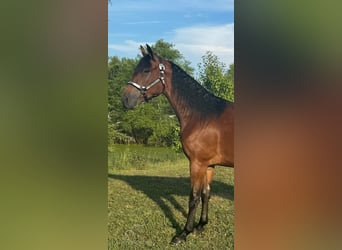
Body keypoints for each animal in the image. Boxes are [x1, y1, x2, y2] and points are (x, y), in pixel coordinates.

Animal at [121, 45, 235, 244]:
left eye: (145, 71)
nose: (126, 99)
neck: (202, 115)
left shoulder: (196, 163)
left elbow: (193, 197)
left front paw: (184, 233)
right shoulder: (209, 165)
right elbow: (206, 194)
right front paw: (201, 225)